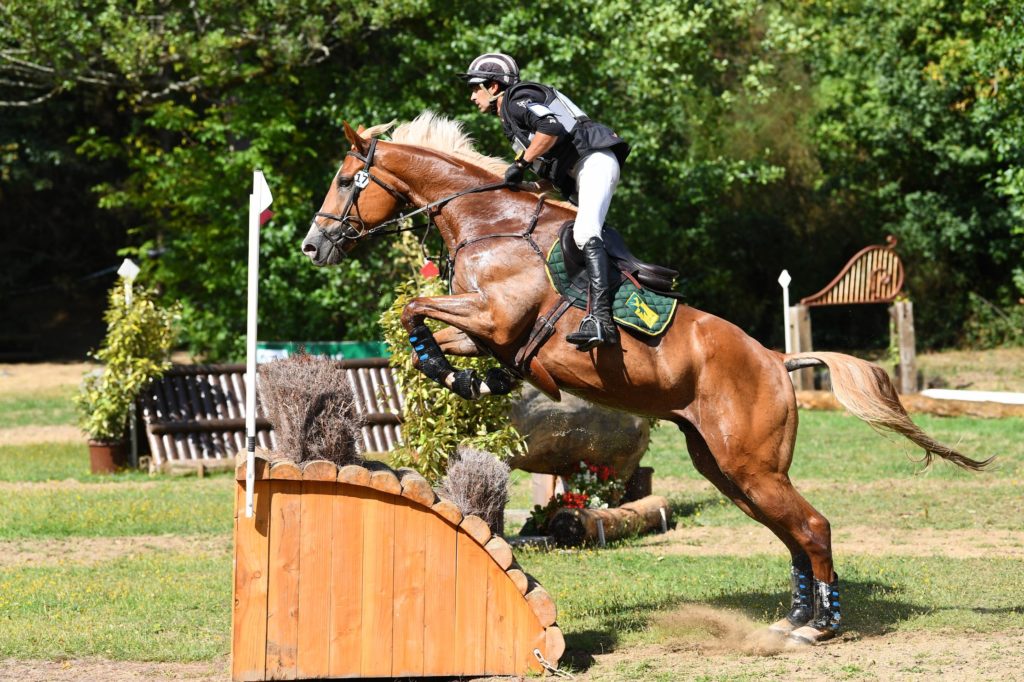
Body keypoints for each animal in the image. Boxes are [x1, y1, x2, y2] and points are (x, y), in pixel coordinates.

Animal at [301, 112, 991, 643]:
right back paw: (794, 620)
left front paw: (456, 376)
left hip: (751, 467)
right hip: (729, 469)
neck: (487, 222)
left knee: (813, 528)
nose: (312, 247)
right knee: (794, 534)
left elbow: (415, 309)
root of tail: (776, 359)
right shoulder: (482, 329)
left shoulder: (494, 317)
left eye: (342, 180)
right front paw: (468, 380)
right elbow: (426, 327)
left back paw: (820, 627)